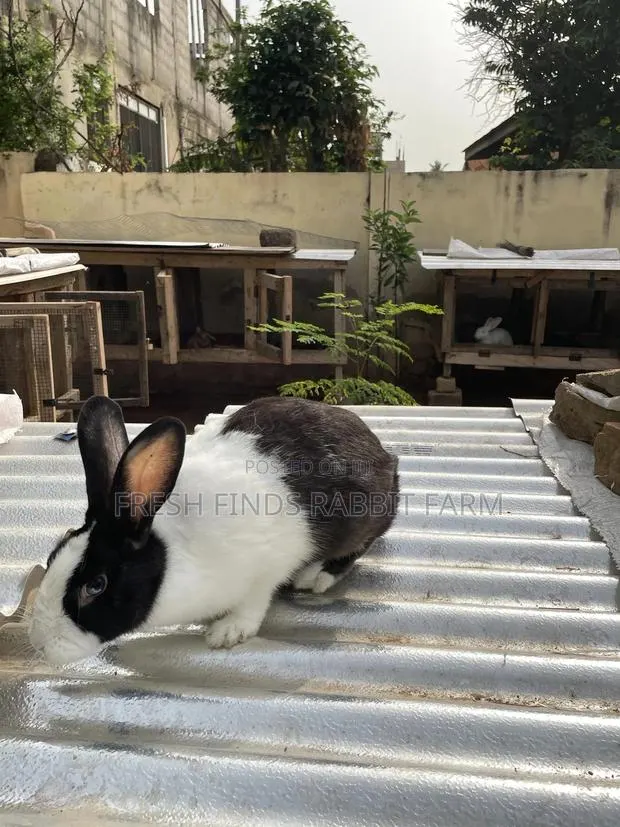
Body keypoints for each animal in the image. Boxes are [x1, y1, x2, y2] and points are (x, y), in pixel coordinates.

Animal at [27, 394, 400, 666]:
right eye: (53, 554)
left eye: (96, 586)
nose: (41, 647)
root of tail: (383, 454)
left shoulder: (266, 566)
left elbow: (254, 602)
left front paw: (228, 632)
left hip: (364, 518)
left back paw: (317, 575)